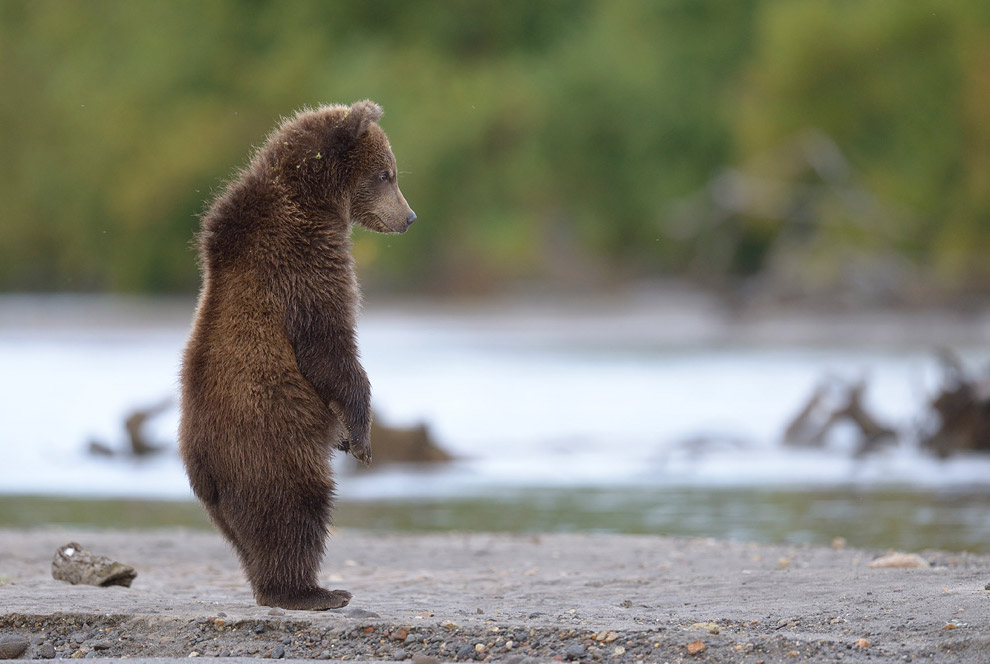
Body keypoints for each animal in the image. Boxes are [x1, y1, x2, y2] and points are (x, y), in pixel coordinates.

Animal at [180, 101, 416, 608]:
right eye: (385, 174)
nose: (409, 217)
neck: (315, 200)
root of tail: (202, 467)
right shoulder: (302, 265)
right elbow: (330, 348)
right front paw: (361, 437)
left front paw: (347, 436)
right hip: (268, 440)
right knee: (295, 505)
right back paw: (313, 591)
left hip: (224, 492)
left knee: (248, 534)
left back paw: (273, 586)